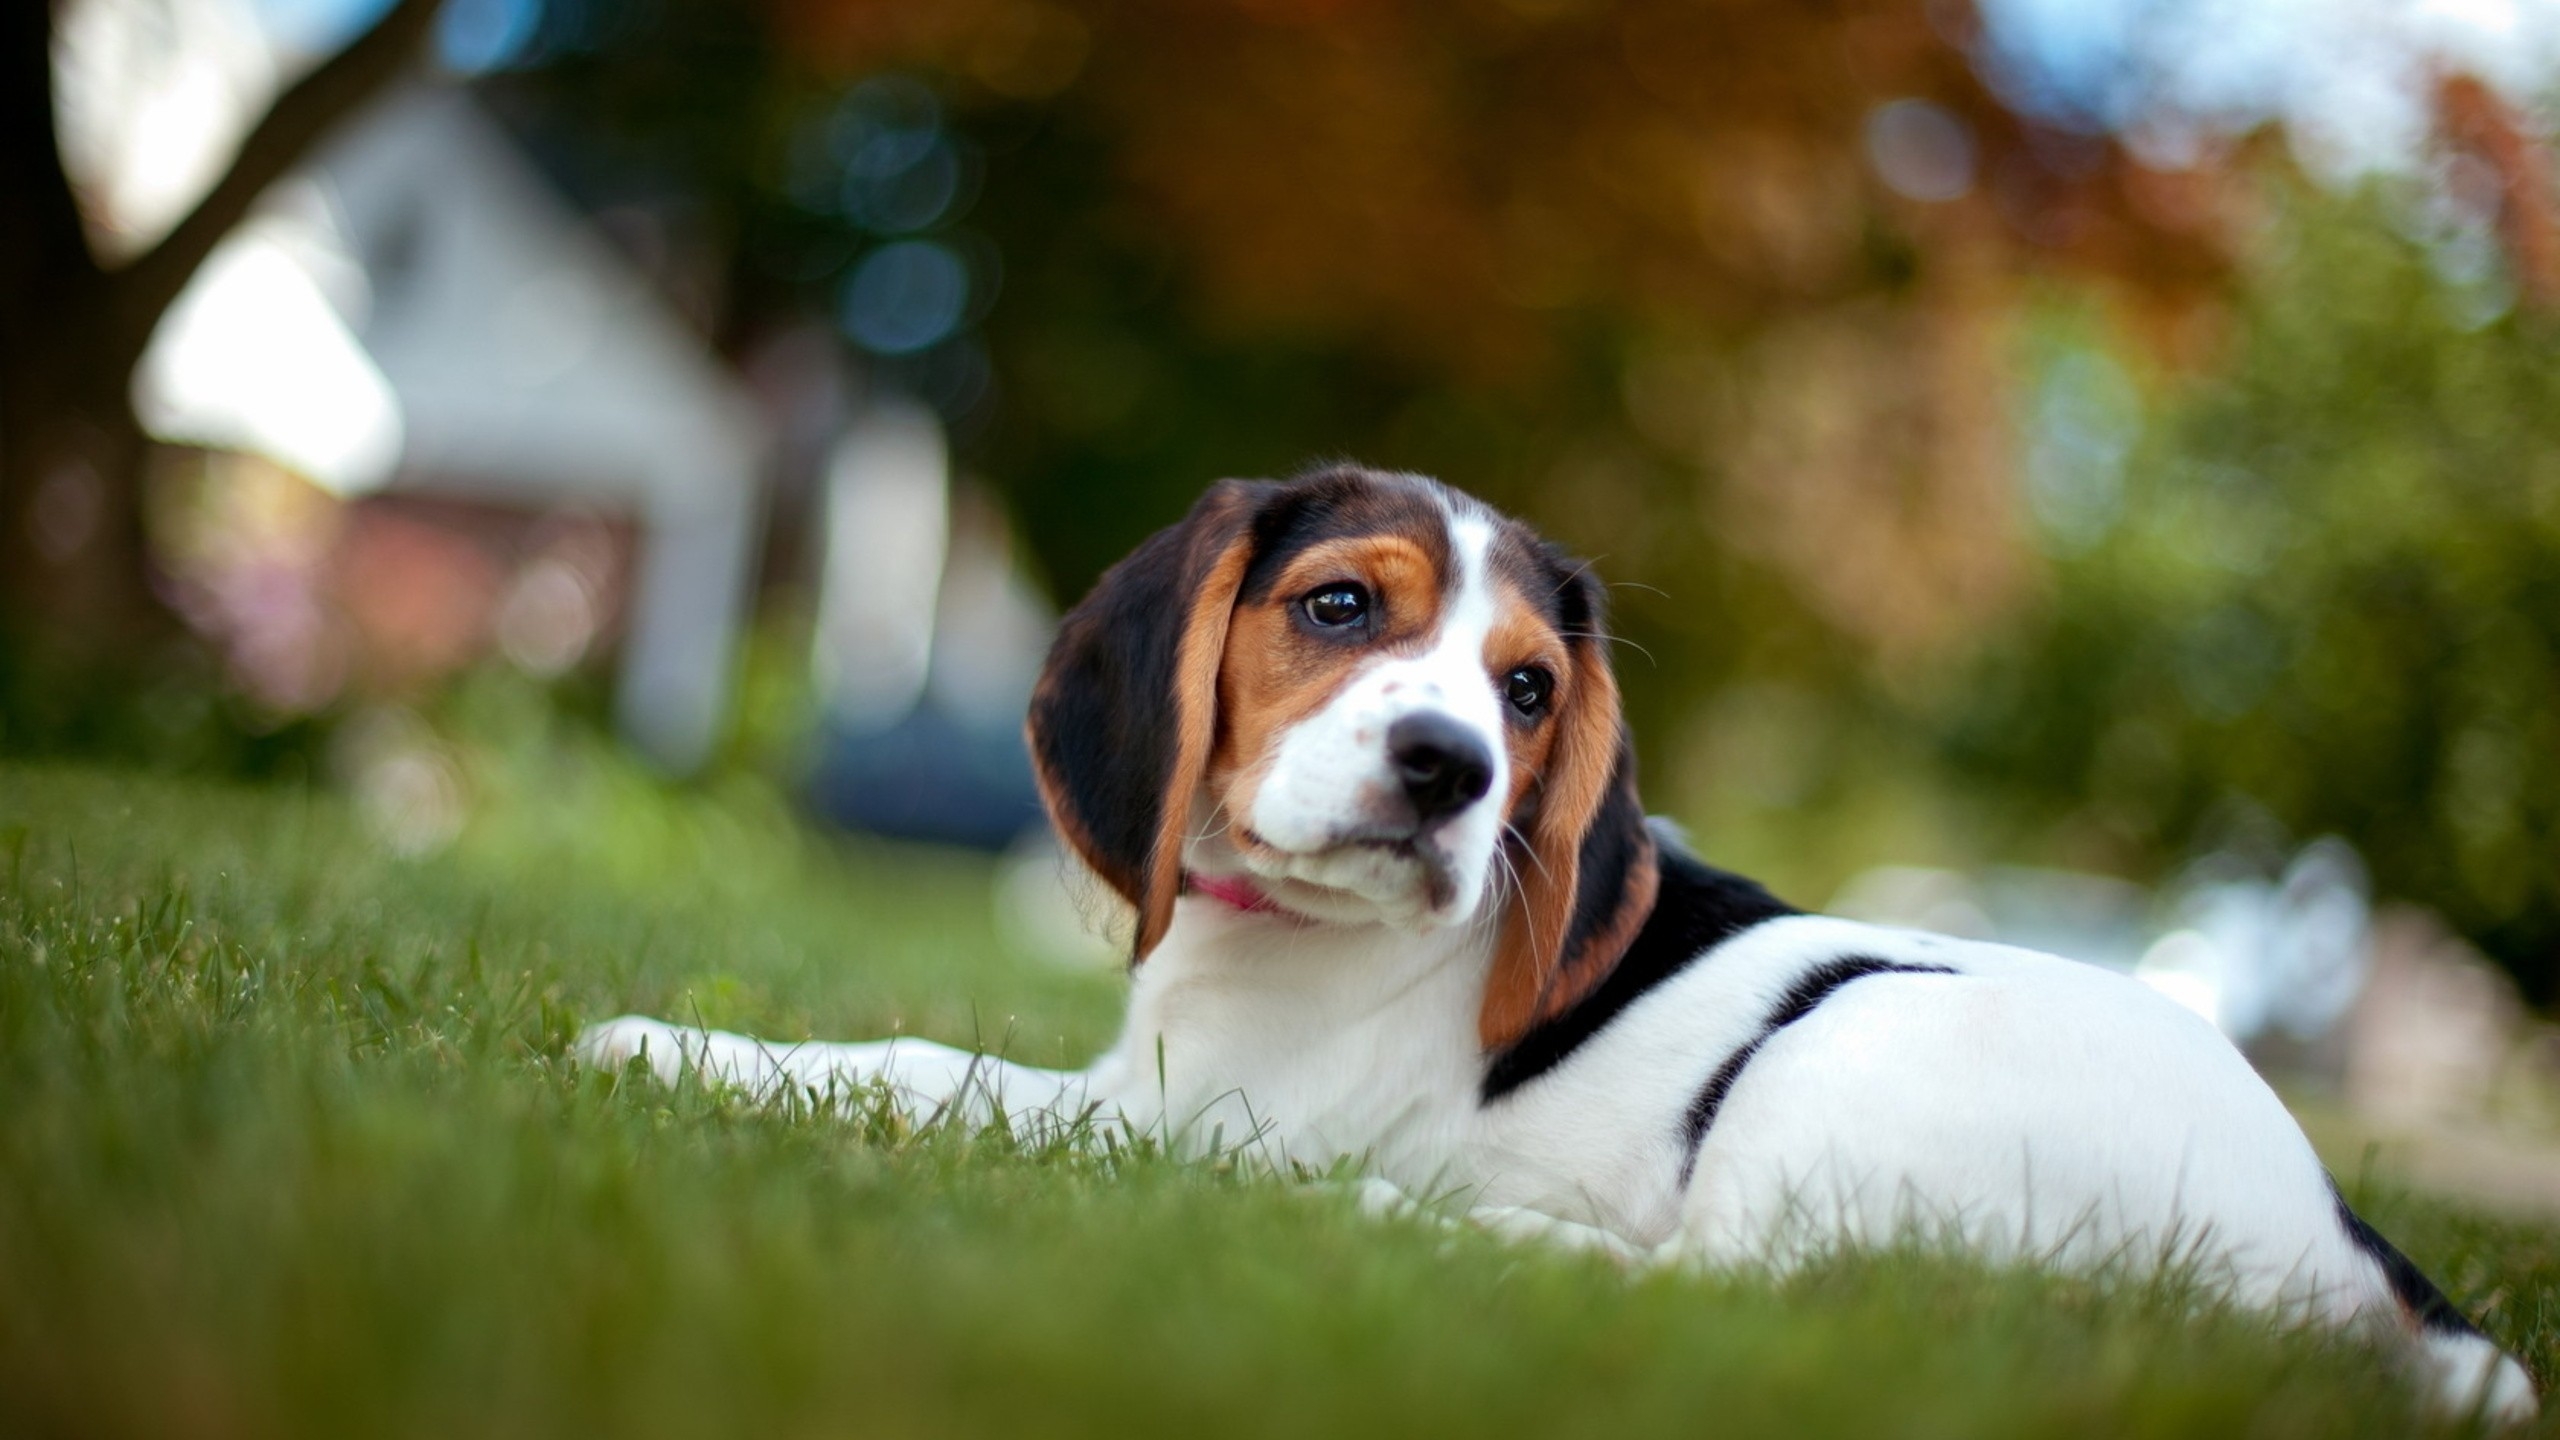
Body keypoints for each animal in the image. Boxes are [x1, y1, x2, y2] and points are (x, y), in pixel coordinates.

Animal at [586, 466, 2539, 1414]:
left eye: (1529, 692)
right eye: (1338, 606)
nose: (1451, 769)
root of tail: (2346, 1256)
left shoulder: (1170, 1118)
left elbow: (922, 1064)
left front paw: (670, 1049)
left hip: (1850, 1048)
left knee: (1730, 1293)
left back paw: (1403, 1224)